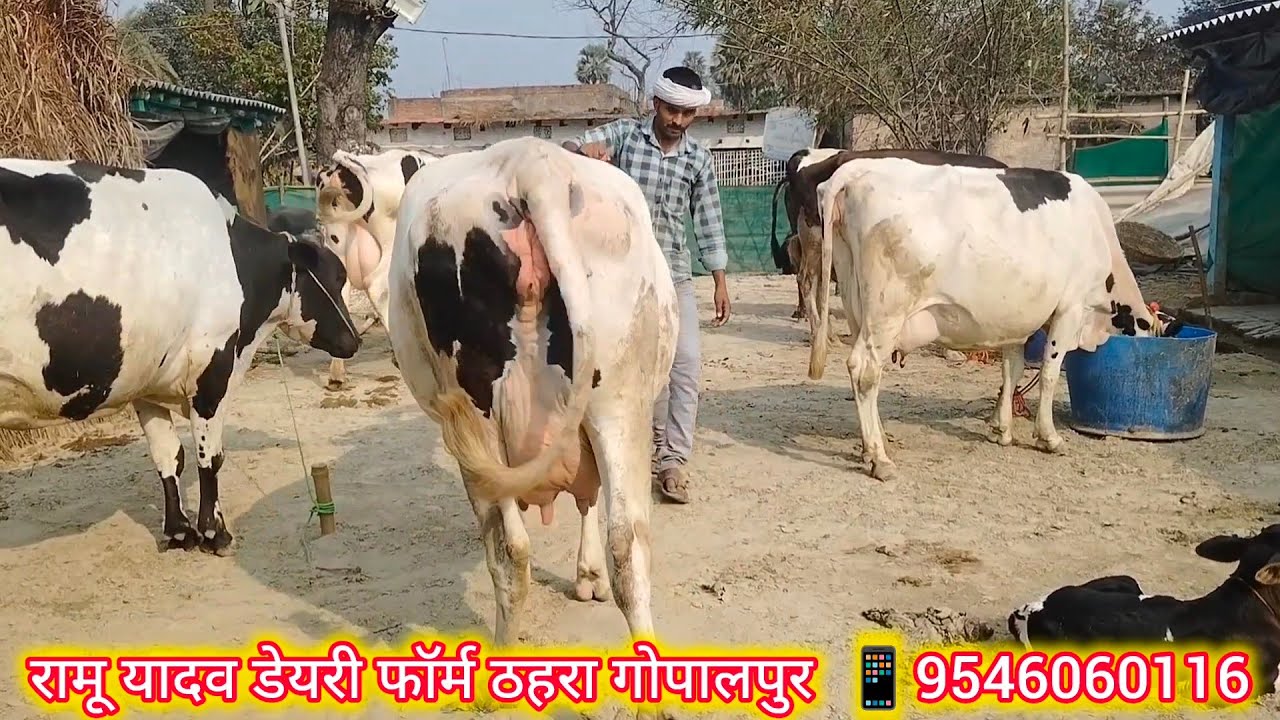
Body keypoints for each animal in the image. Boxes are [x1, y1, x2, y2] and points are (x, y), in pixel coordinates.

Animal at [0, 158, 361, 554]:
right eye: (335, 277)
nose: (354, 340)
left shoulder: (146, 379)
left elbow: (169, 455)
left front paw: (178, 531)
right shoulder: (213, 365)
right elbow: (210, 456)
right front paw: (214, 533)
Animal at [384, 137, 678, 712]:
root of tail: (529, 164)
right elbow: (589, 501)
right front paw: (588, 576)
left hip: (476, 420)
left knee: (509, 550)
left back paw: (495, 667)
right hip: (620, 400)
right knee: (627, 542)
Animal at [806, 158, 1162, 481]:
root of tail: (858, 168)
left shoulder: (1015, 322)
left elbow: (1012, 371)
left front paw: (1002, 429)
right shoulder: (1070, 308)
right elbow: (1048, 373)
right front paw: (1048, 436)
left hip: (856, 304)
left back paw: (874, 443)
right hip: (887, 311)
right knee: (865, 370)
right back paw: (880, 459)